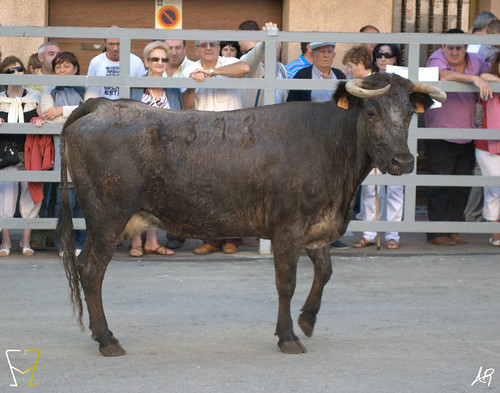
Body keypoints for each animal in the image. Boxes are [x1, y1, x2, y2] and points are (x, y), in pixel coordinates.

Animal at [57, 72, 446, 356]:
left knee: (84, 266)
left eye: (409, 114)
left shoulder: (315, 227)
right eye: (370, 112)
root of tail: (102, 105)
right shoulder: (287, 228)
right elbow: (286, 283)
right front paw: (288, 336)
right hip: (107, 217)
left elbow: (324, 271)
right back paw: (107, 339)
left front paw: (307, 319)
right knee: (91, 270)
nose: (402, 160)